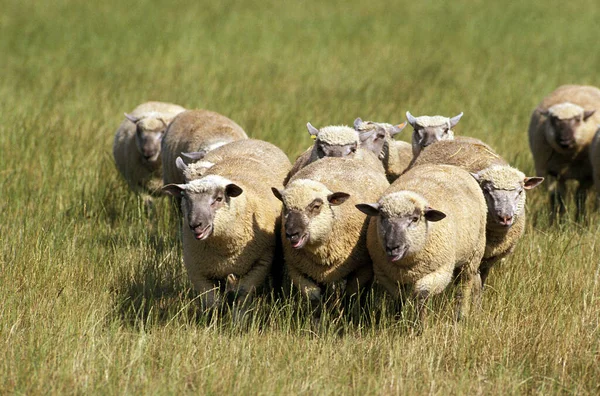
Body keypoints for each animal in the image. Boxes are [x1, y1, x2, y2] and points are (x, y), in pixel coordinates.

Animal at [161, 153, 290, 314]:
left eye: (218, 198)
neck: (224, 250)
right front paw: (212, 319)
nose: (196, 225)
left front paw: (239, 318)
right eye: (185, 198)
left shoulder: (259, 264)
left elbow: (241, 297)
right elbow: (211, 302)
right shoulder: (198, 270)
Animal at [356, 162, 488, 326]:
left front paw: (420, 326)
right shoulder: (386, 273)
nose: (392, 247)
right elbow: (399, 298)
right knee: (475, 279)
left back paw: (460, 315)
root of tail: (445, 165)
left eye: (415, 219)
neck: (406, 265)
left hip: (474, 252)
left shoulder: (439, 272)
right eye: (383, 217)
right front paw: (399, 321)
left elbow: (421, 296)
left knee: (464, 284)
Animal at [528, 84, 600, 220]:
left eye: (578, 119)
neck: (568, 157)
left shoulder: (587, 176)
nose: (564, 139)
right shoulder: (551, 173)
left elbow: (580, 198)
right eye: (553, 120)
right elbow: (557, 199)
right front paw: (557, 221)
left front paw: (580, 220)